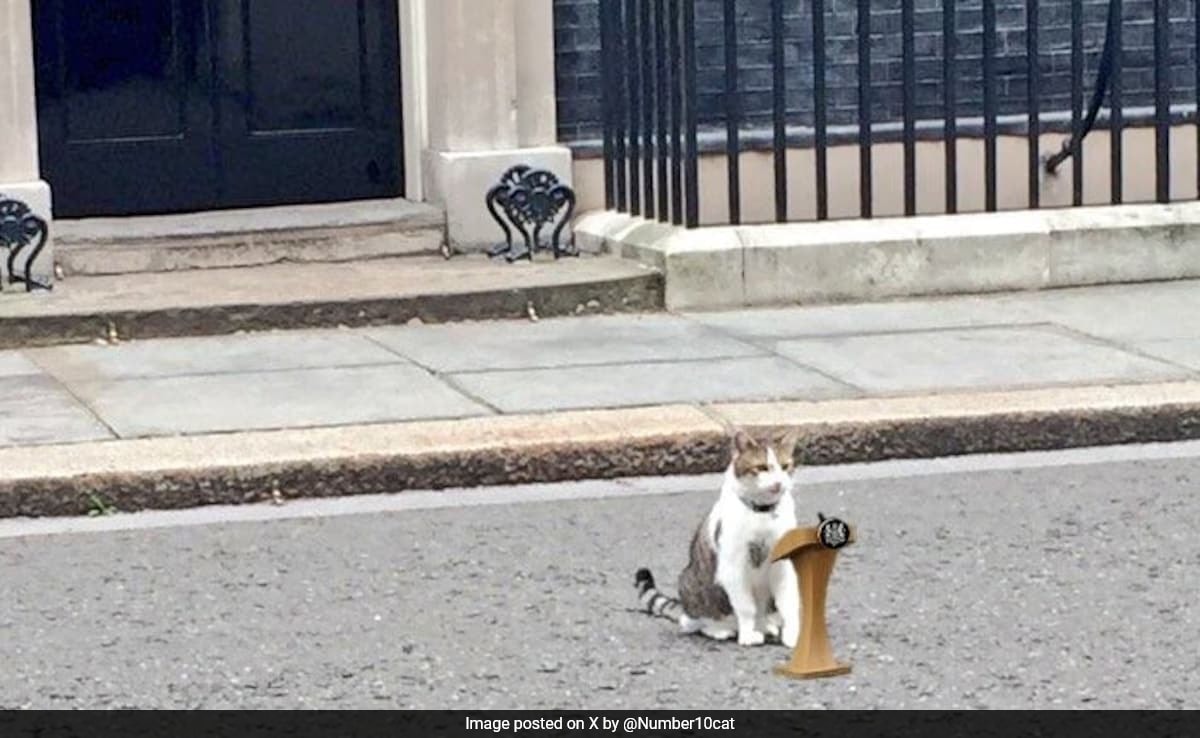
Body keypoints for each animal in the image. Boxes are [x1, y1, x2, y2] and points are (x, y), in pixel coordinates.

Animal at [638, 427, 796, 648]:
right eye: (762, 468)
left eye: (785, 466)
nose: (778, 484)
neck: (762, 514)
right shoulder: (733, 567)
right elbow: (746, 608)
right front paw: (748, 636)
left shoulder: (783, 567)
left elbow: (788, 603)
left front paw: (792, 635)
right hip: (691, 585)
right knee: (694, 623)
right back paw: (721, 630)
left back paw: (766, 626)